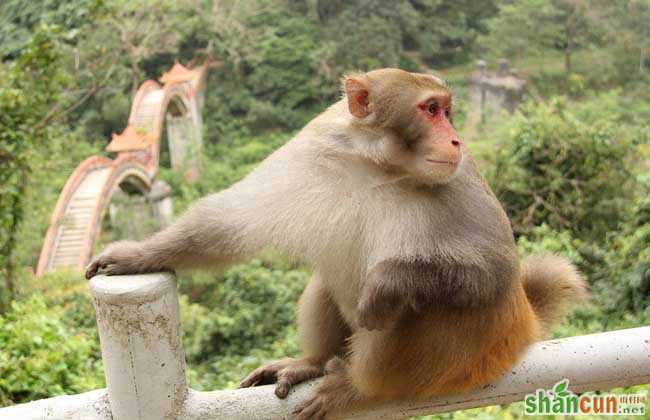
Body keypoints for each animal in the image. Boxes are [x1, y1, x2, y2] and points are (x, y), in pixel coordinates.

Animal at [83, 67, 584, 418]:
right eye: (431, 109)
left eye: (447, 111)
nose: (457, 139)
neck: (376, 163)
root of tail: (521, 327)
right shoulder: (313, 149)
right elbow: (227, 223)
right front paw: (138, 254)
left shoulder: (462, 180)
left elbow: (494, 269)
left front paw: (385, 284)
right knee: (328, 283)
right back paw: (313, 360)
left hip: (466, 356)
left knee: (413, 309)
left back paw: (358, 387)